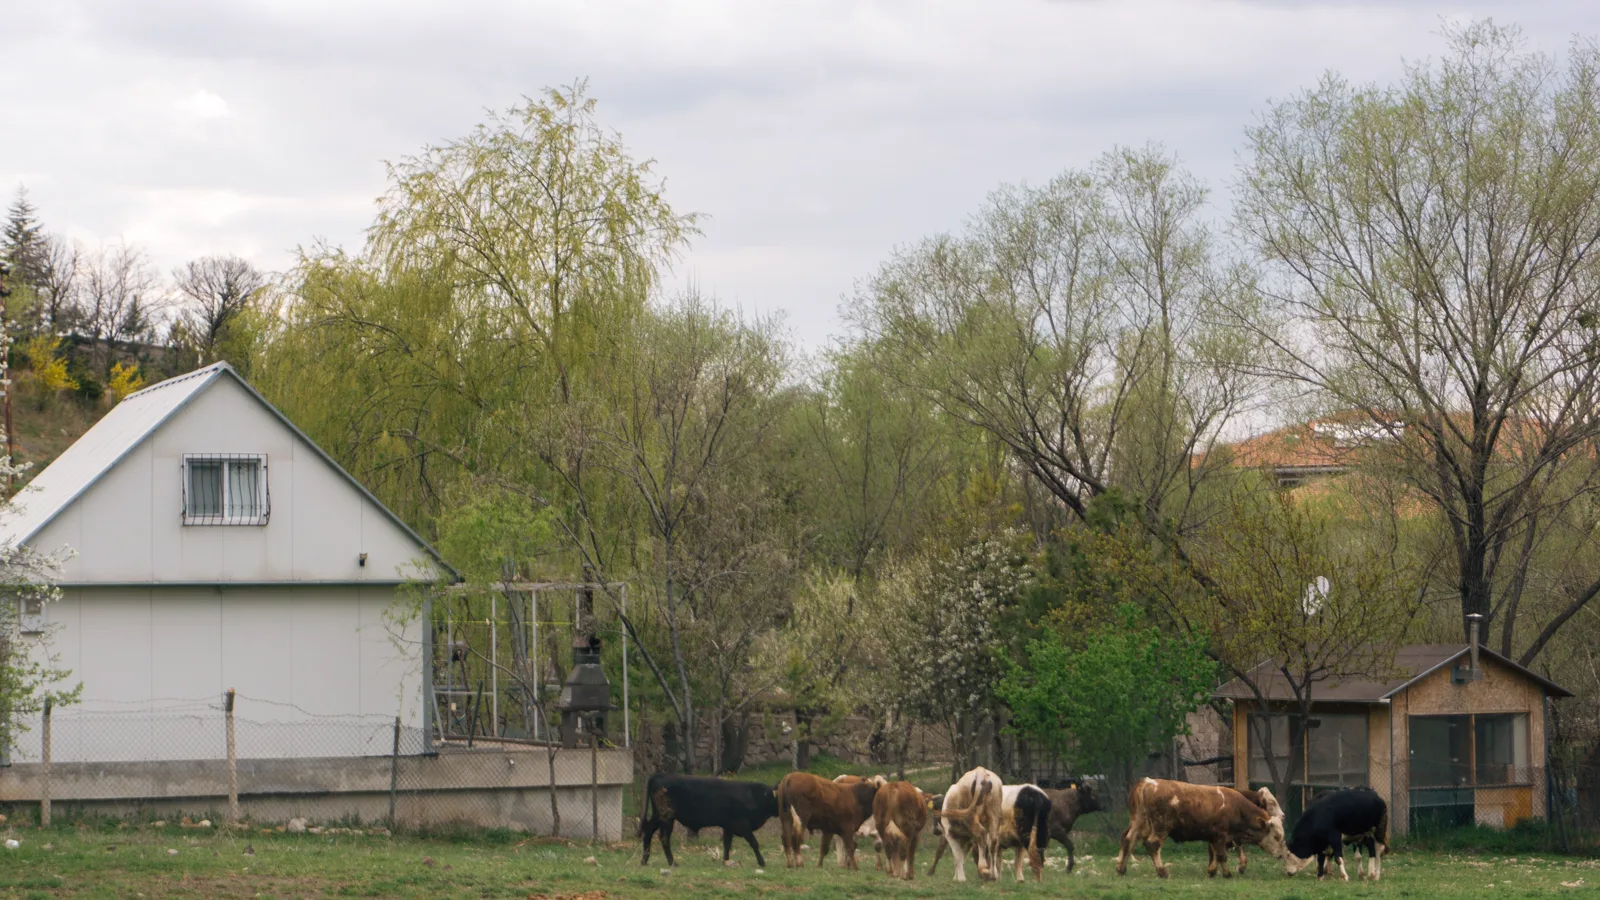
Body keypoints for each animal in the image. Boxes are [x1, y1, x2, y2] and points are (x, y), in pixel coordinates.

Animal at [639, 773, 780, 868]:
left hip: (658, 815)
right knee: (664, 837)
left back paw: (644, 860)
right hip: (667, 816)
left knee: (648, 831)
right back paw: (672, 863)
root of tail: (660, 775)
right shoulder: (742, 825)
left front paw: (726, 862)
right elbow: (754, 843)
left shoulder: (728, 826)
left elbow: (727, 844)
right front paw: (762, 862)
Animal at [1115, 778, 1288, 879]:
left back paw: (1121, 869)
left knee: (1128, 840)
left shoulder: (1216, 837)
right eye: (1276, 836)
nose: (1283, 815)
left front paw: (1212, 871)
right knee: (1153, 845)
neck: (1235, 806)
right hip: (1161, 826)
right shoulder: (1220, 835)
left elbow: (1216, 854)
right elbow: (1221, 855)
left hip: (1138, 821)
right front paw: (1227, 873)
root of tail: (1147, 783)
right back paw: (1162, 871)